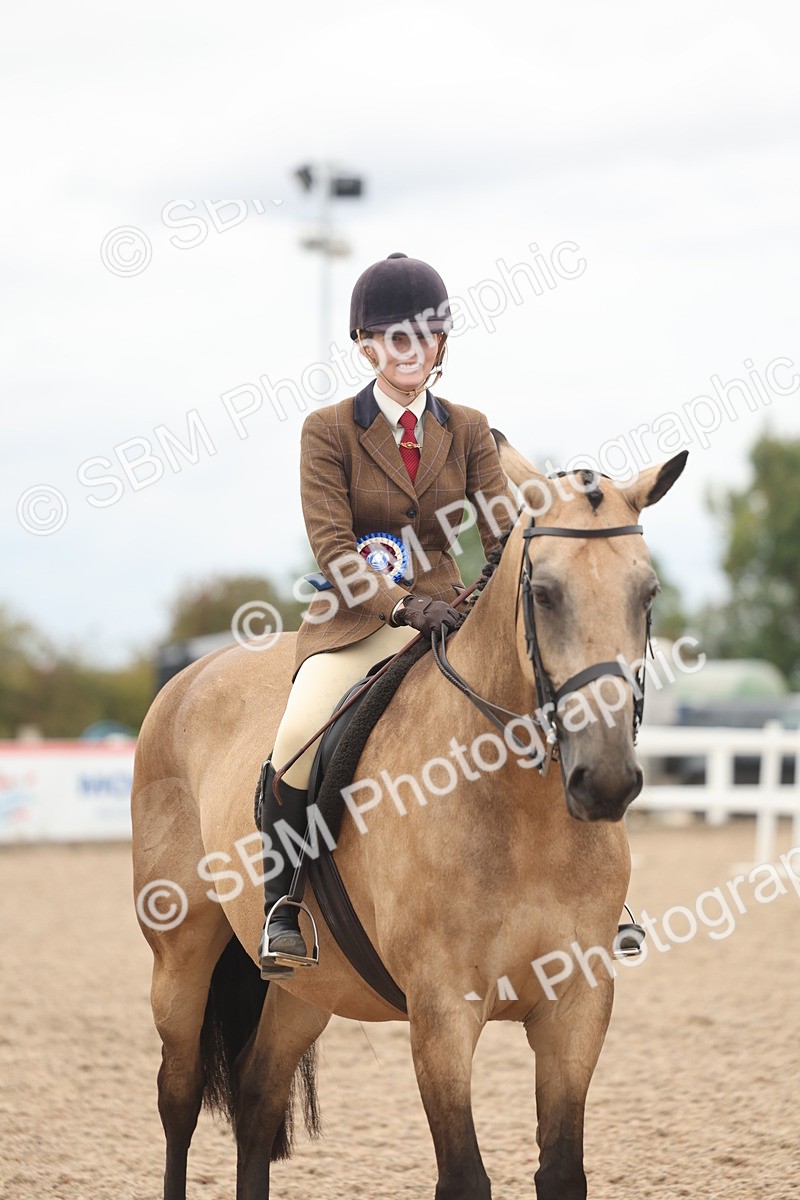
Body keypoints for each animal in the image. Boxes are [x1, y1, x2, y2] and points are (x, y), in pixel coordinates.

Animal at [131, 438, 687, 1200]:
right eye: (544, 593)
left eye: (647, 593)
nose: (604, 782)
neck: (525, 818)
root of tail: (188, 677)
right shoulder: (441, 1012)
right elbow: (464, 1176)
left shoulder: (576, 1007)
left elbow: (562, 1169)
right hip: (180, 955)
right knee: (179, 1098)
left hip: (305, 989)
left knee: (257, 1098)